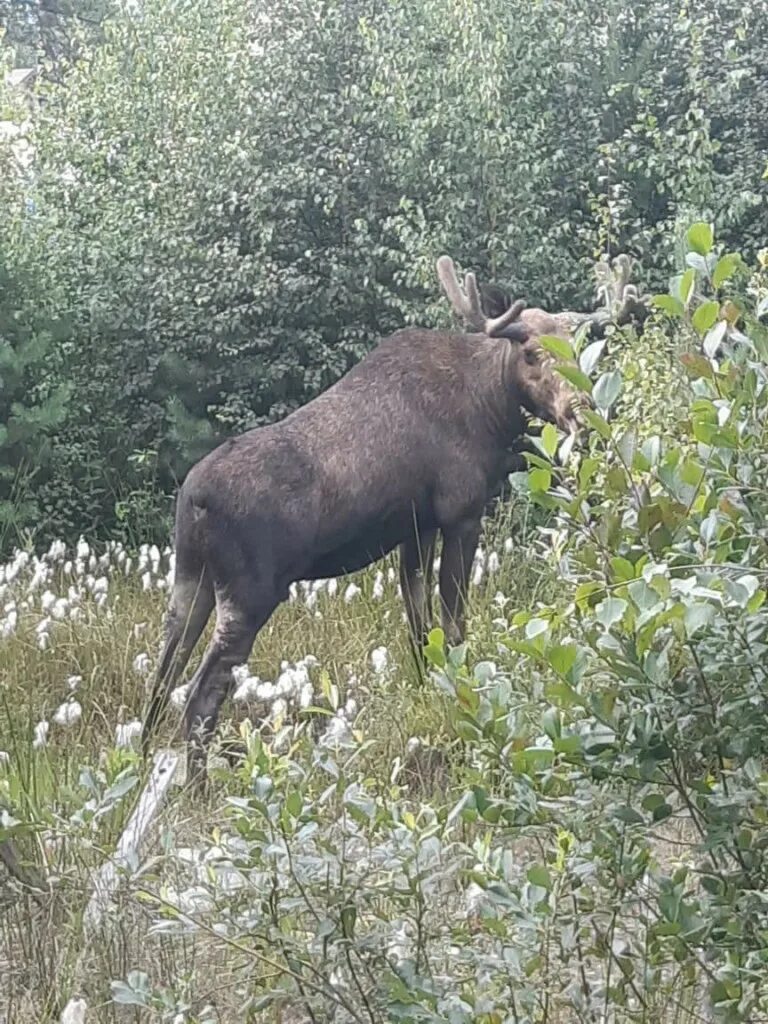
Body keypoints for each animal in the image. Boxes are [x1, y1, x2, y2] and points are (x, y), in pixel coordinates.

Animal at [141, 249, 647, 782]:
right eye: (530, 353)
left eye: (580, 347)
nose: (581, 411)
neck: (492, 409)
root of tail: (192, 499)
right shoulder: (461, 512)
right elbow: (454, 620)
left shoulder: (414, 527)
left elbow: (420, 630)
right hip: (249, 591)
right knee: (199, 696)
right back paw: (198, 786)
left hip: (190, 579)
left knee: (161, 680)